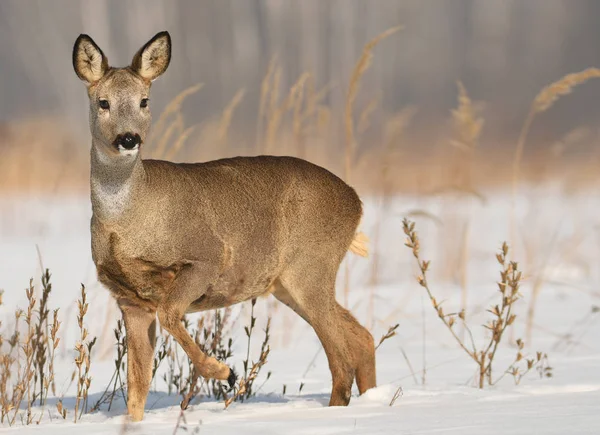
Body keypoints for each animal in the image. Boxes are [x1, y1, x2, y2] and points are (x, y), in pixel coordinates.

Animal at [72, 31, 376, 422]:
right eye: (103, 102)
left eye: (144, 101)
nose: (128, 138)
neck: (126, 223)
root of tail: (356, 202)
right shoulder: (130, 298)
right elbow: (137, 386)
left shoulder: (206, 257)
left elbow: (170, 316)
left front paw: (226, 373)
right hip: (287, 283)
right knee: (362, 338)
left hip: (311, 266)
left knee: (341, 359)